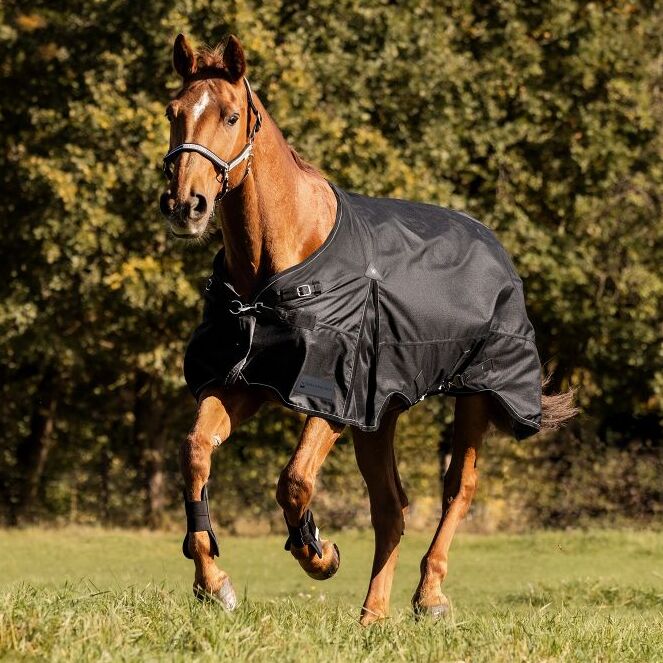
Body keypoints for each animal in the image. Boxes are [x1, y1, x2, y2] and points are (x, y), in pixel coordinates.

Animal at [159, 34, 576, 625]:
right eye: (174, 113)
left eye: (231, 116)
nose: (185, 206)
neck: (276, 269)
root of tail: (493, 243)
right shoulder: (243, 382)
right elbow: (196, 451)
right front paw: (214, 584)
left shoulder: (335, 396)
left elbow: (294, 481)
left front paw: (319, 553)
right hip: (381, 415)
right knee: (391, 508)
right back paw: (373, 614)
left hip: (473, 396)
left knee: (457, 489)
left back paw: (429, 596)